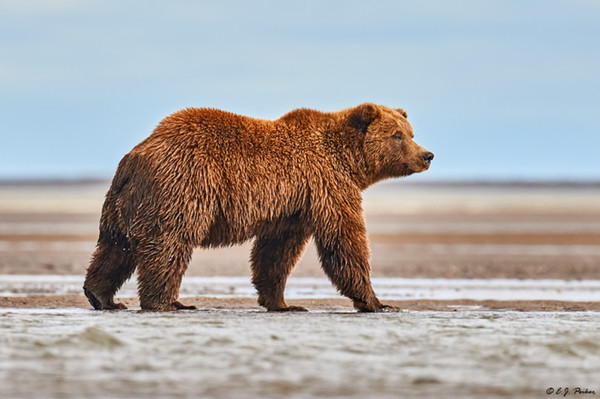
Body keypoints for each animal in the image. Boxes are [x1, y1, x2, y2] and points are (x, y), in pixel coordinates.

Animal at [83, 103, 432, 312]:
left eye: (411, 133)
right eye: (397, 135)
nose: (427, 155)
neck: (347, 159)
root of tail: (136, 154)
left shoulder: (291, 207)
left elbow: (276, 253)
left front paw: (282, 302)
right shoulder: (328, 185)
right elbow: (344, 239)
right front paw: (377, 302)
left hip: (124, 201)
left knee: (115, 247)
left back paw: (102, 297)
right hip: (182, 187)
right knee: (168, 243)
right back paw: (167, 302)